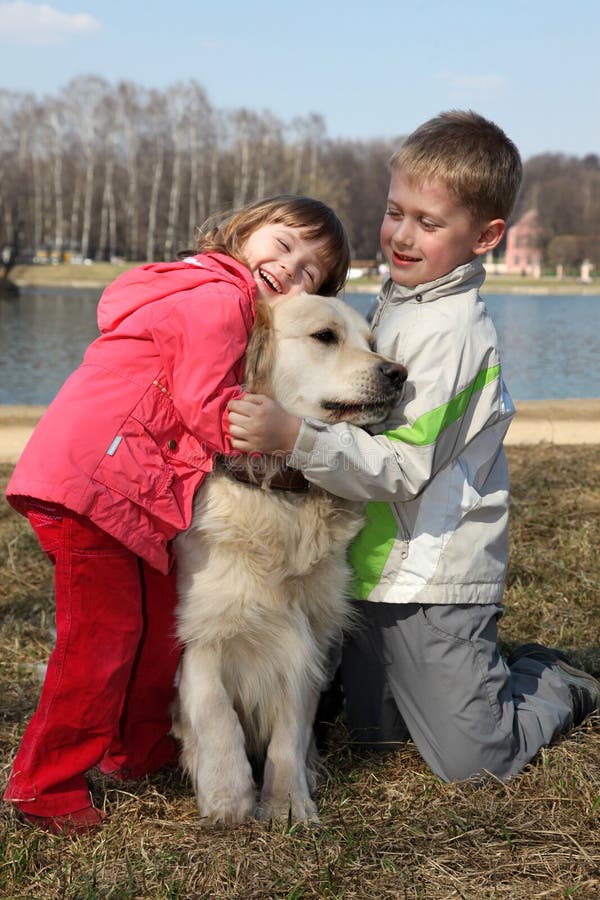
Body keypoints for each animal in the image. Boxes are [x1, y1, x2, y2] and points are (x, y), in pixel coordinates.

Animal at [173, 294, 408, 824]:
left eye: (372, 342)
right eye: (325, 336)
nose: (398, 373)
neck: (280, 492)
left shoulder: (309, 636)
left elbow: (290, 727)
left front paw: (285, 801)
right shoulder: (201, 628)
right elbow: (213, 708)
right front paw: (227, 795)